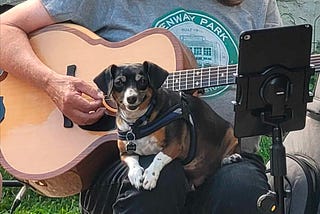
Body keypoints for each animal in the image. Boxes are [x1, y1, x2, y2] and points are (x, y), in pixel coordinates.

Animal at [95, 61, 240, 191]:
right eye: (119, 82)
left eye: (142, 81)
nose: (131, 98)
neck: (138, 121)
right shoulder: (125, 153)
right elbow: (133, 163)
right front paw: (135, 175)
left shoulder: (175, 144)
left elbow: (158, 157)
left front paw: (150, 176)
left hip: (232, 133)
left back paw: (230, 158)